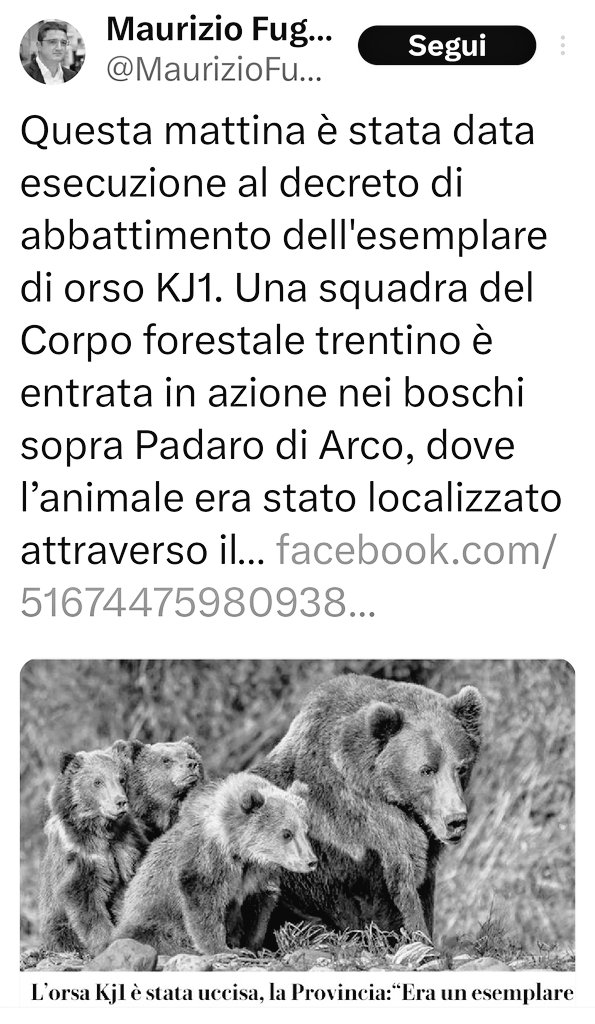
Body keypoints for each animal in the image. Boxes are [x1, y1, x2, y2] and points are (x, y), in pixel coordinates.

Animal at [39, 749, 147, 955]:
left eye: (121, 778)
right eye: (97, 781)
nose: (120, 802)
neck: (102, 831)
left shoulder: (127, 844)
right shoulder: (81, 856)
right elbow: (85, 899)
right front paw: (105, 942)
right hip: (56, 922)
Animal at [115, 773, 317, 955]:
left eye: (306, 830)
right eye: (287, 833)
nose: (311, 861)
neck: (241, 851)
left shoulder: (258, 875)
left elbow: (258, 909)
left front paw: (252, 946)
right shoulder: (209, 858)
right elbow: (204, 900)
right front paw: (222, 948)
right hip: (151, 923)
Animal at [255, 673, 482, 940]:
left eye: (462, 767)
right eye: (427, 769)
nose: (456, 820)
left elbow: (424, 889)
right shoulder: (365, 831)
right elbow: (397, 892)